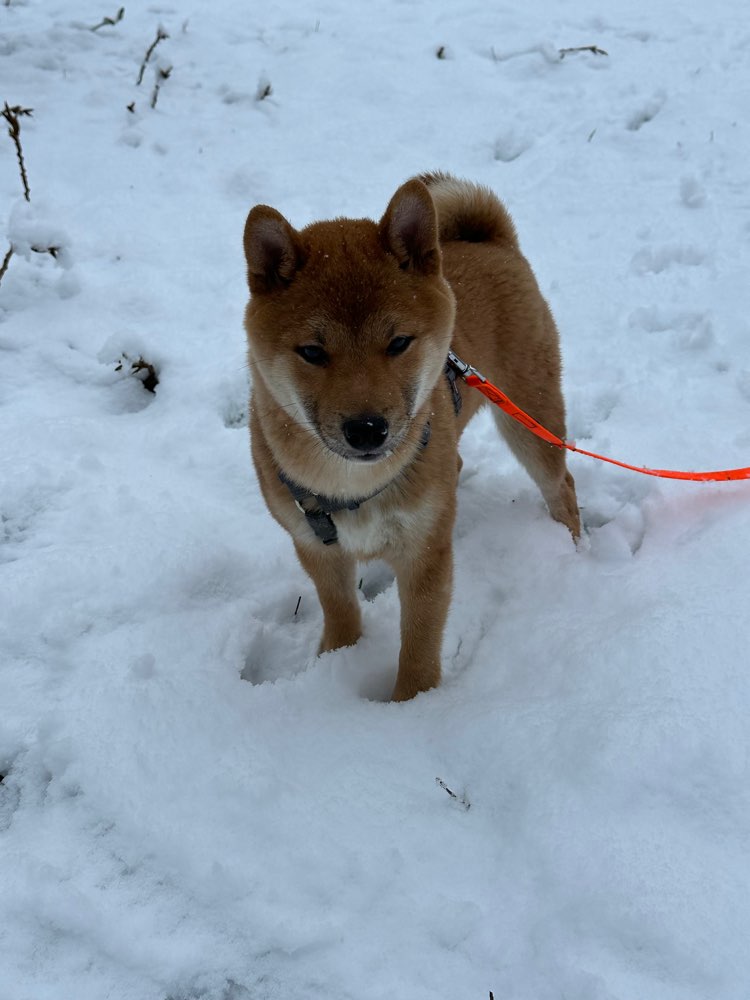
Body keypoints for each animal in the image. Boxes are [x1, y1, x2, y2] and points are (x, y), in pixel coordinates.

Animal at [245, 172, 580, 700]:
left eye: (399, 342)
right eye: (313, 352)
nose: (366, 429)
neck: (351, 486)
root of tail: (491, 242)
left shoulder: (424, 558)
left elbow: (420, 646)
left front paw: (412, 707)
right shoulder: (316, 549)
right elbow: (341, 613)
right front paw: (333, 662)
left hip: (530, 418)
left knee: (561, 485)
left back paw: (571, 546)